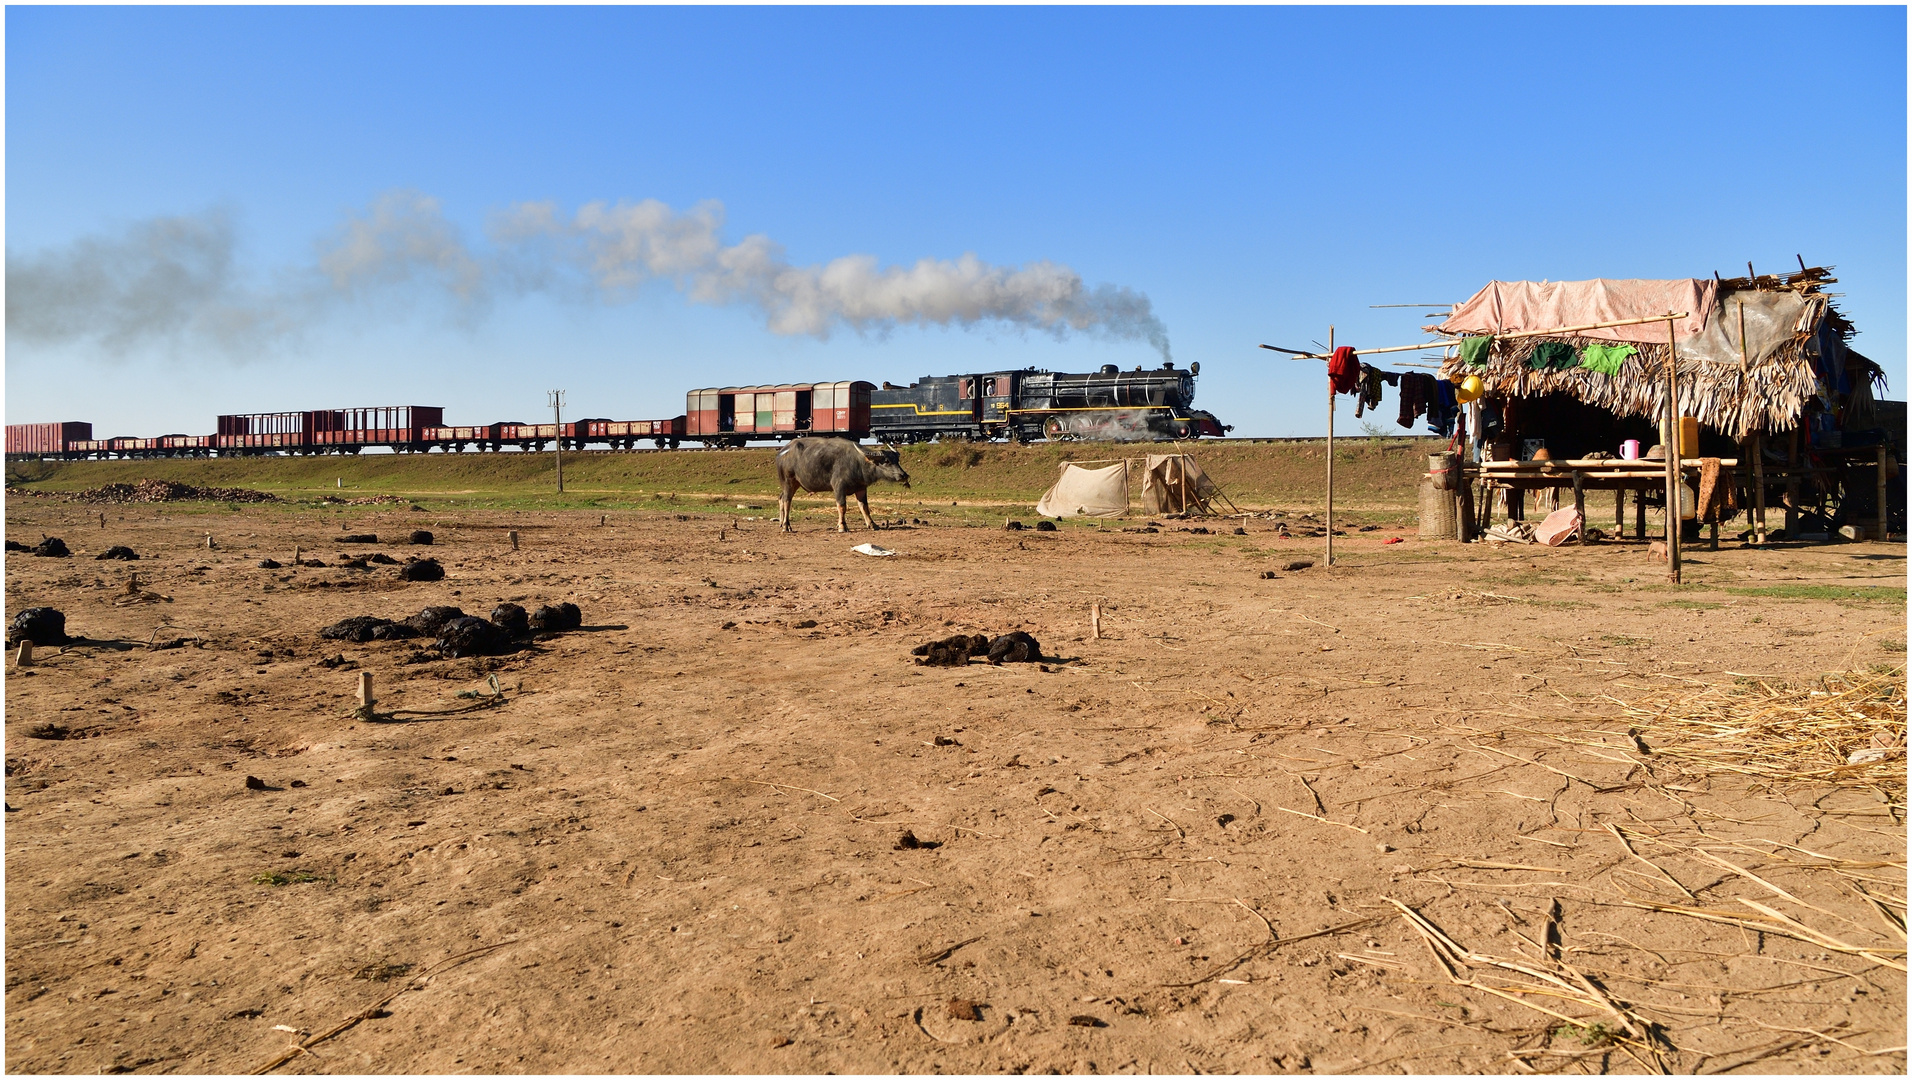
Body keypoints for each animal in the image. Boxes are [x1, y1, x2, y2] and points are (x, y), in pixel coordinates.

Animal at [776, 437, 910, 531]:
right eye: (886, 461)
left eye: (897, 460)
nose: (904, 475)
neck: (858, 463)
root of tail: (782, 452)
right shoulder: (839, 487)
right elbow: (842, 506)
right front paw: (842, 526)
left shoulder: (861, 488)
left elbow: (864, 507)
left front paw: (872, 524)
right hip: (788, 482)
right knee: (787, 501)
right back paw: (786, 526)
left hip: (795, 484)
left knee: (781, 498)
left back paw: (781, 523)